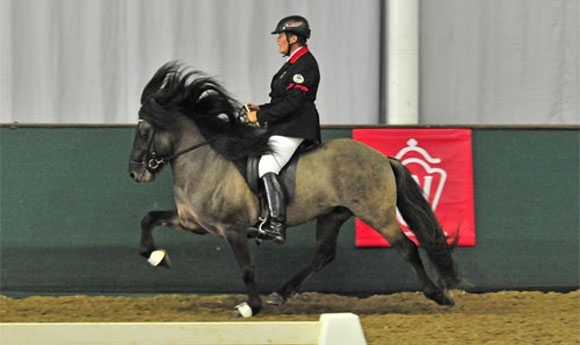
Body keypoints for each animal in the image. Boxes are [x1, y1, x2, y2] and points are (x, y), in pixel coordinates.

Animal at [129, 61, 460, 314]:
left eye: (144, 131)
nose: (134, 173)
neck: (207, 161)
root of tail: (382, 157)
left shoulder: (233, 229)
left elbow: (247, 268)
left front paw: (250, 306)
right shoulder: (192, 222)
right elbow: (148, 218)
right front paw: (156, 256)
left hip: (376, 214)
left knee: (407, 247)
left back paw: (439, 295)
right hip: (333, 214)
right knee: (323, 254)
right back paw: (281, 293)